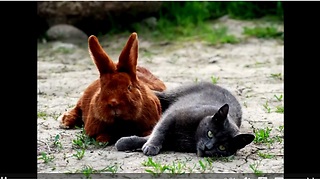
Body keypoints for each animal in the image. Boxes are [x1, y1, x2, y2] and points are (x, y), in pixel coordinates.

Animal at [115, 81, 255, 156]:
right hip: (172, 94)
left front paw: (124, 142)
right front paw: (150, 146)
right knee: (155, 95)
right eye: (210, 133)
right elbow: (159, 132)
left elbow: (150, 137)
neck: (192, 137)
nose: (208, 147)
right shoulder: (172, 116)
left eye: (222, 147)